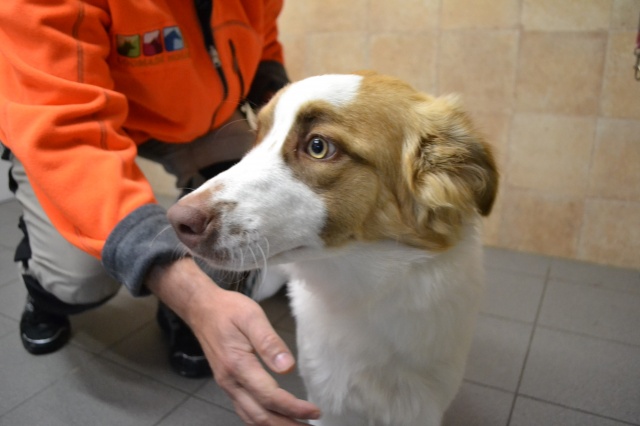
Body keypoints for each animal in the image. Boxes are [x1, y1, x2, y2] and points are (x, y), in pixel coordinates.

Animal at [167, 72, 498, 426]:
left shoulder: (421, 407)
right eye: (257, 138)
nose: (177, 222)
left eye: (318, 146)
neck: (363, 296)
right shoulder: (328, 402)